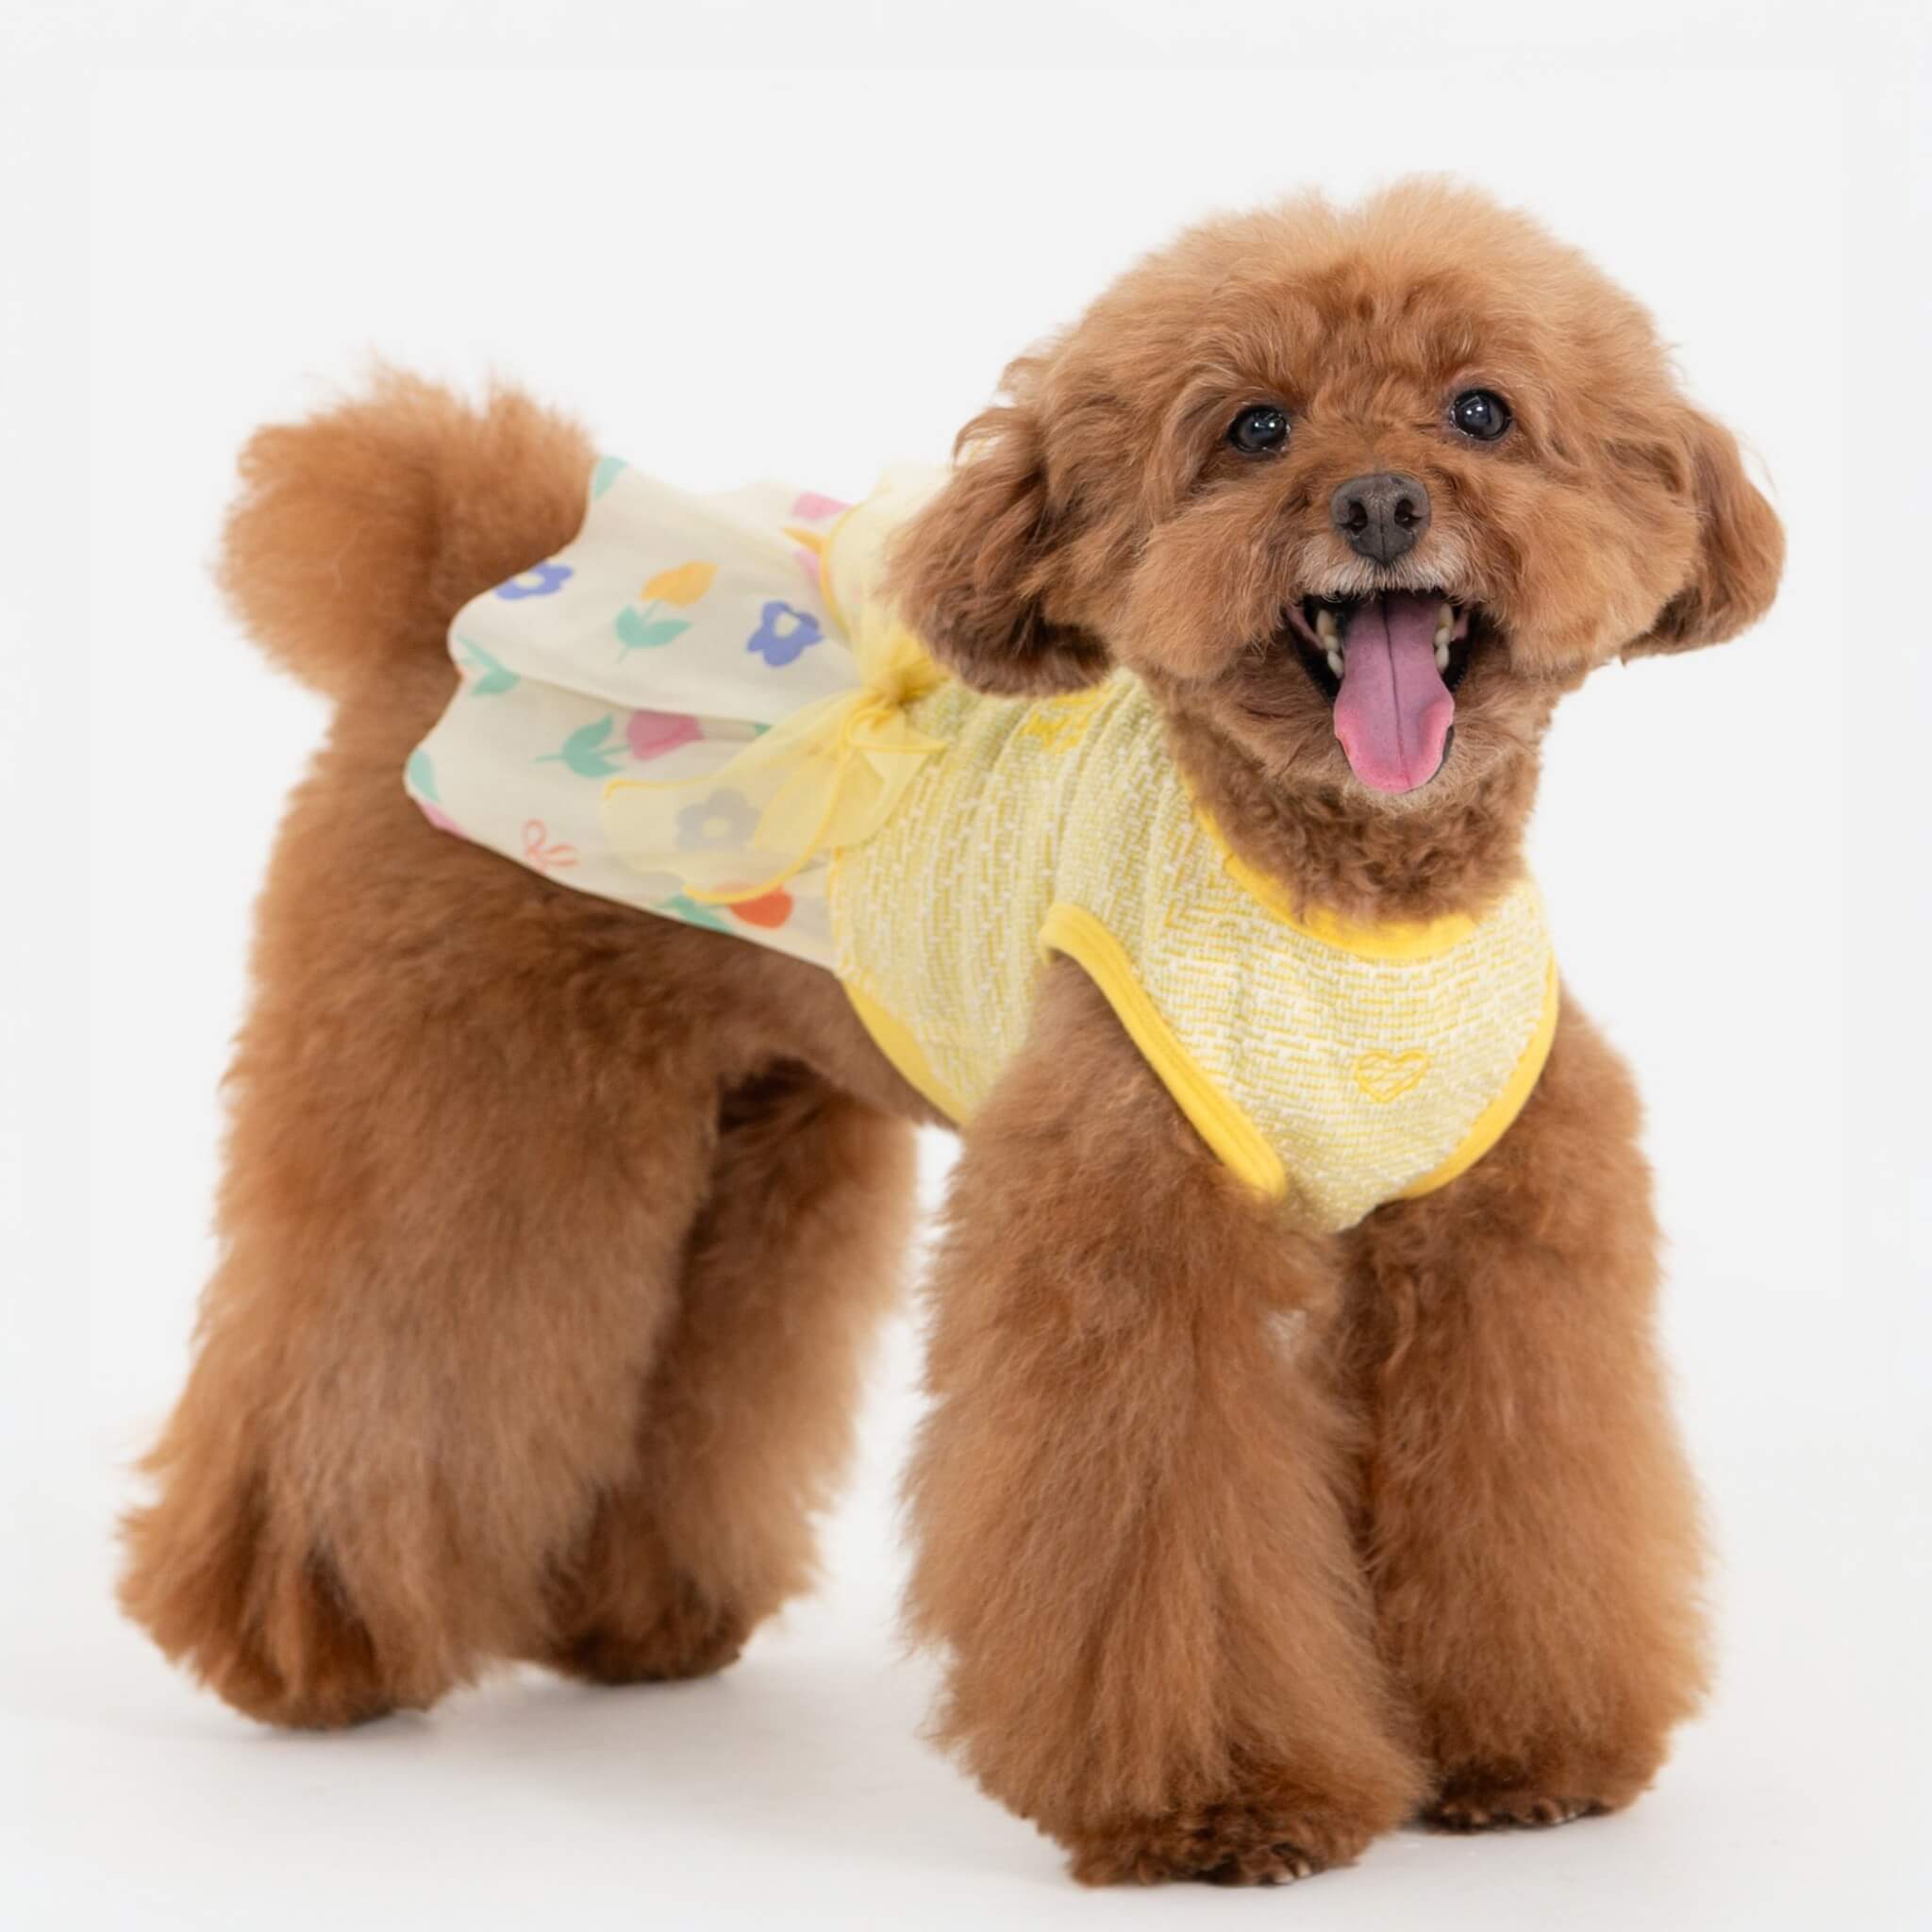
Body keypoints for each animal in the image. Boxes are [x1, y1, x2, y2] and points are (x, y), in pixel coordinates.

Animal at [120, 179, 1783, 1886]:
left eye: (1481, 411)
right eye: (1254, 426)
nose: (1380, 501)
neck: (1343, 903)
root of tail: (460, 577)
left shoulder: (1496, 1244)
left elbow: (1521, 1506)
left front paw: (1523, 1752)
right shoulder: (1128, 1239)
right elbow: (1160, 1537)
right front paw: (1219, 1801)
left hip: (747, 1136)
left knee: (678, 1356)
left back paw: (632, 1618)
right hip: (462, 1095)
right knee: (378, 1363)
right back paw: (305, 1642)